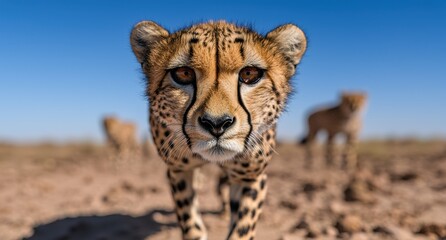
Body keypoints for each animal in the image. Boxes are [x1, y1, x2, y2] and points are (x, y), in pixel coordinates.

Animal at [129, 20, 306, 238]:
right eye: (183, 74)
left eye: (249, 74)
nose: (216, 124)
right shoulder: (178, 170)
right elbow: (190, 221)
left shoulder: (252, 175)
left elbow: (243, 226)